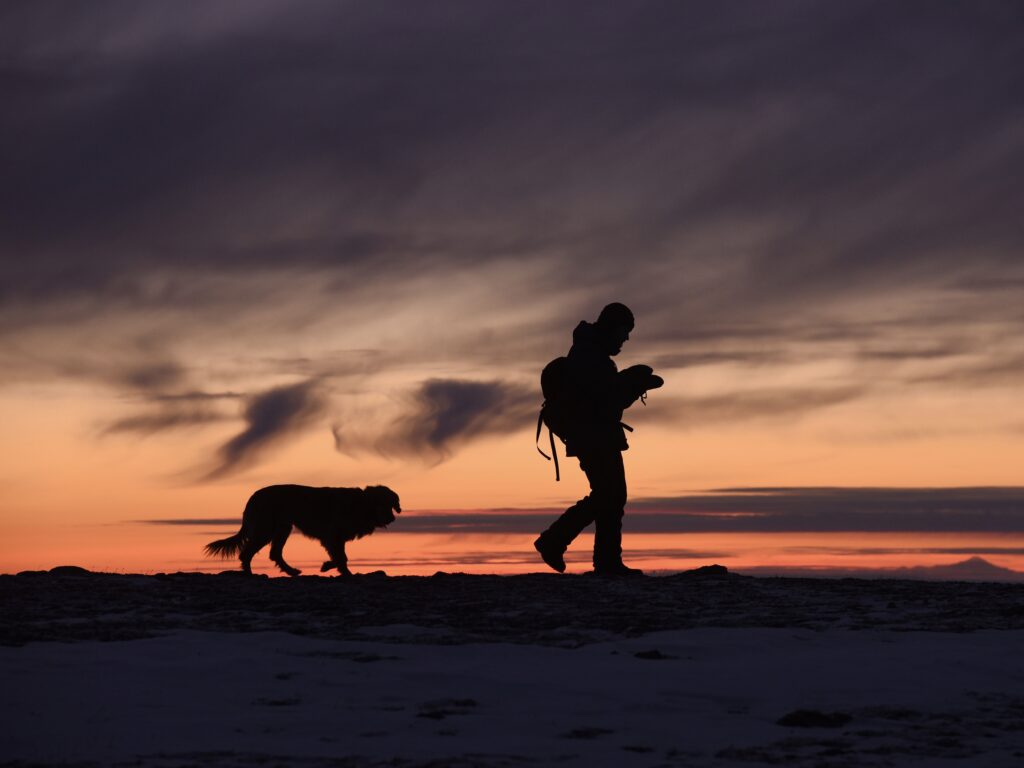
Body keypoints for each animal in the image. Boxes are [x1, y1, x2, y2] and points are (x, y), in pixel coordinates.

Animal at [203, 487, 399, 577]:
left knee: (275, 553)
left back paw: (291, 571)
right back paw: (250, 574)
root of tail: (253, 497)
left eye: (392, 504)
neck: (361, 505)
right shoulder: (332, 536)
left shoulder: (336, 538)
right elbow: (341, 557)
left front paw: (330, 567)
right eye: (384, 503)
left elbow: (341, 557)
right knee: (246, 553)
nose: (392, 518)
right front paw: (341, 571)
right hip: (266, 529)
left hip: (282, 528)